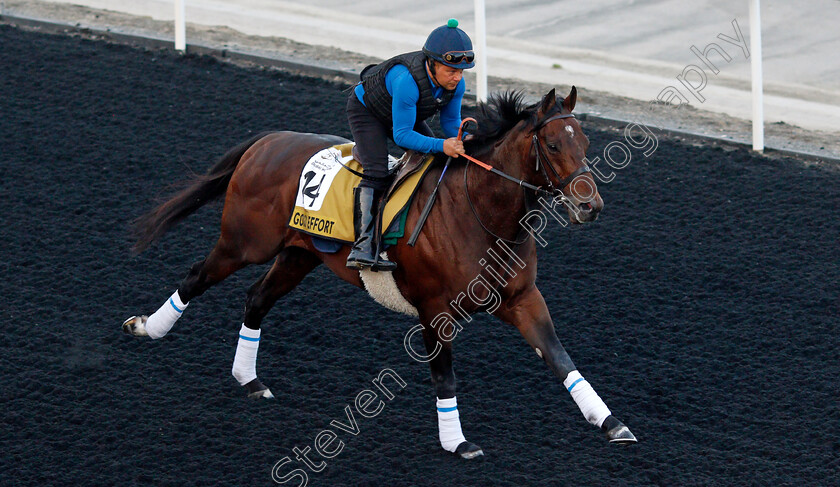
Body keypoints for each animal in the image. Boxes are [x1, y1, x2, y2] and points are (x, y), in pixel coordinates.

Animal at [123, 86, 636, 458]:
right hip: (245, 242)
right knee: (197, 276)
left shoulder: (522, 298)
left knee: (256, 299)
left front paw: (611, 423)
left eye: (585, 142)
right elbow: (445, 378)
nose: (590, 206)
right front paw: (457, 442)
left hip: (299, 254)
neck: (482, 214)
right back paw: (148, 327)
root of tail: (268, 140)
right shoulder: (435, 309)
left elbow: (560, 358)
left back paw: (249, 380)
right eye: (553, 143)